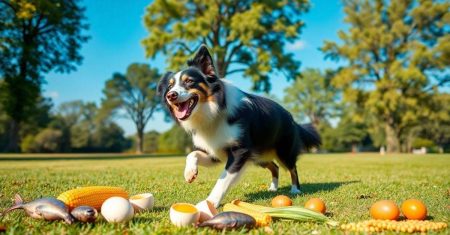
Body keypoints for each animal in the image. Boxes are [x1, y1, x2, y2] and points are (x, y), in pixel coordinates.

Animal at [157, 45, 320, 207]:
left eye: (189, 81)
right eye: (170, 86)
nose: (170, 95)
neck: (214, 111)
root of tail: (292, 118)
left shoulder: (239, 152)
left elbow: (223, 180)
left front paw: (209, 203)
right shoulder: (214, 151)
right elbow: (192, 154)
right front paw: (190, 172)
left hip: (283, 151)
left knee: (292, 168)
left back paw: (295, 189)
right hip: (259, 155)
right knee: (275, 167)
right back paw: (273, 188)